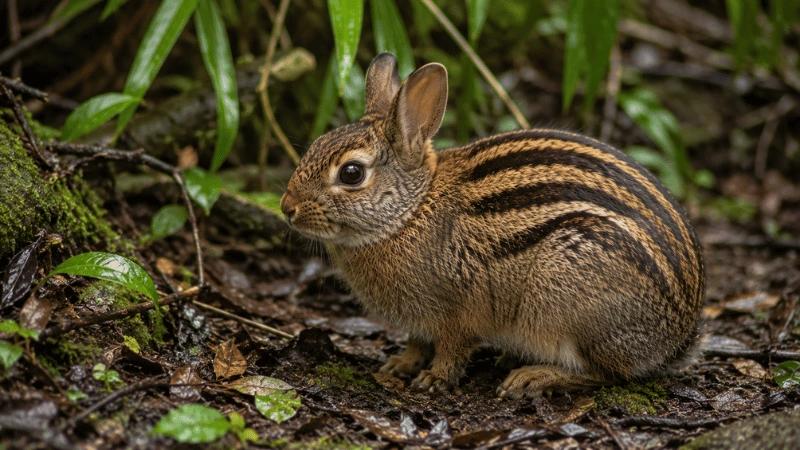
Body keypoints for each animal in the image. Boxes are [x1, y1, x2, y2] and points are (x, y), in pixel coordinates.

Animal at [280, 53, 704, 398]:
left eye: (351, 173)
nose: (288, 208)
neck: (409, 211)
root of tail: (675, 338)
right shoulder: (421, 321)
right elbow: (417, 342)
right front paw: (399, 364)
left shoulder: (460, 310)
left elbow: (452, 348)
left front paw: (433, 379)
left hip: (569, 297)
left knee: (607, 373)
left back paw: (532, 378)